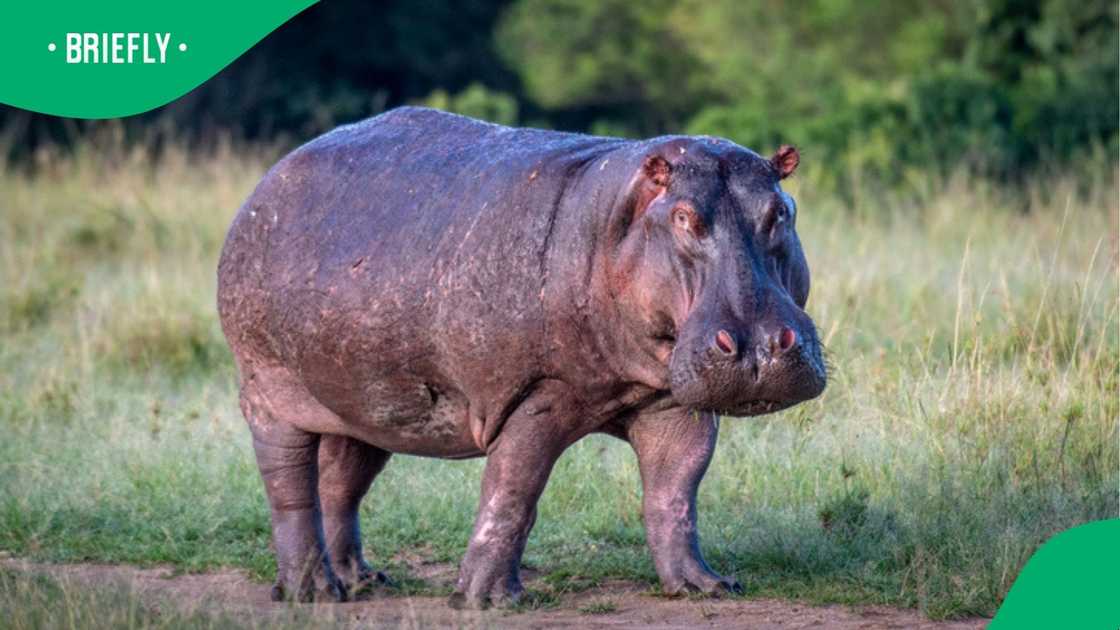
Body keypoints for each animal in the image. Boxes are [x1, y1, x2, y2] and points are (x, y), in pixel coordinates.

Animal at [217, 107, 826, 608]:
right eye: (682, 217)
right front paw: (487, 600)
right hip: (269, 389)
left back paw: (362, 582)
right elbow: (514, 487)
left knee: (341, 482)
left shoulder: (672, 401)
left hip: (365, 399)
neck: (617, 220)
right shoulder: (540, 395)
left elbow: (676, 490)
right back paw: (312, 592)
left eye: (781, 211)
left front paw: (704, 586)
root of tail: (267, 183)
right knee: (290, 487)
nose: (759, 347)